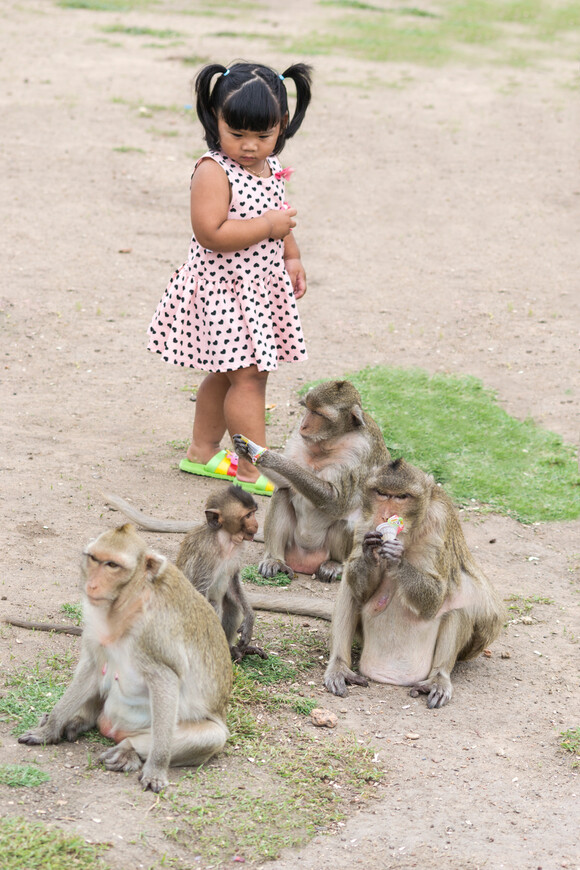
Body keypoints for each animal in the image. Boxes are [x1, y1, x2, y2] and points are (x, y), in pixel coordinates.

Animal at [18, 524, 231, 796]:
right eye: (94, 559)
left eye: (112, 565)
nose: (92, 584)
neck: (126, 603)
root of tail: (112, 729)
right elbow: (93, 666)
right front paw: (49, 729)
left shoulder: (155, 633)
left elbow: (166, 679)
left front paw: (156, 768)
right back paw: (79, 720)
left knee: (211, 737)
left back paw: (128, 749)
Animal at [103, 488, 266, 664]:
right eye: (247, 515)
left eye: (253, 512)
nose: (256, 524)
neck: (225, 539)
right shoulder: (206, 552)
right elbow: (200, 590)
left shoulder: (239, 548)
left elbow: (233, 583)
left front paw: (249, 619)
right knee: (213, 605)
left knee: (232, 604)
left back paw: (231, 649)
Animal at [231, 382, 390, 584]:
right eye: (307, 409)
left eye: (319, 414)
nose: (304, 425)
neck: (329, 441)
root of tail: (304, 563)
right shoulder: (298, 437)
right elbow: (285, 482)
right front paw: (243, 449)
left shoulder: (360, 450)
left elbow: (336, 502)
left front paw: (272, 458)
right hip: (291, 547)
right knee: (282, 492)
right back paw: (274, 560)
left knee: (348, 518)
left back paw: (334, 564)